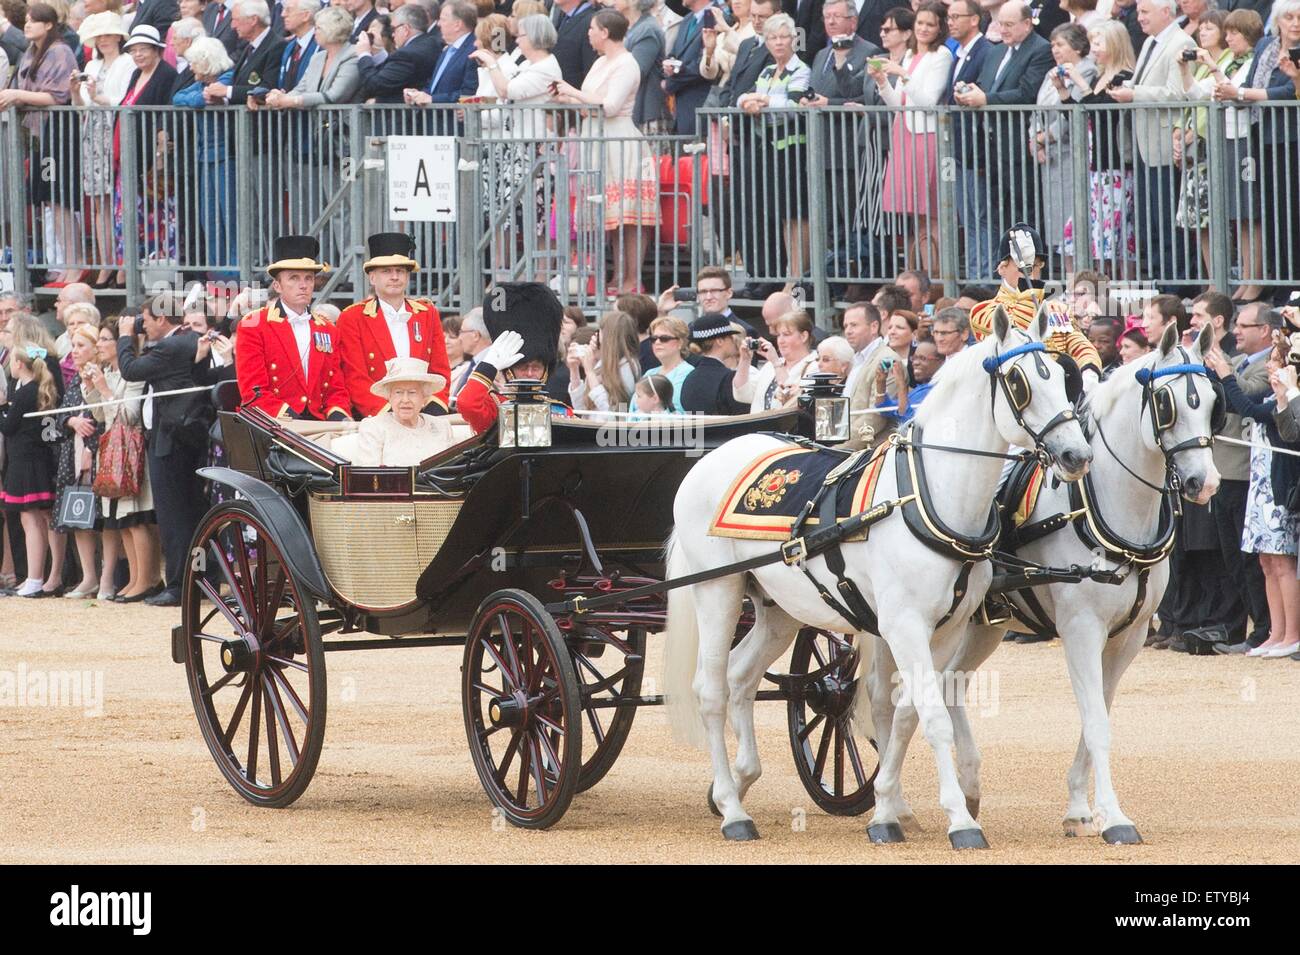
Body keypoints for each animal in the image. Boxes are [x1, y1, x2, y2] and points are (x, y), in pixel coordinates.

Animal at [665, 306, 1092, 841]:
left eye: (1062, 375)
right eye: (1019, 383)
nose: (1078, 455)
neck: (928, 497)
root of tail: (716, 455)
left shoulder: (946, 630)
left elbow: (908, 713)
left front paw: (888, 808)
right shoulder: (904, 623)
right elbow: (932, 716)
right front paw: (959, 819)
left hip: (780, 606)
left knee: (742, 675)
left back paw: (742, 779)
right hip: (717, 590)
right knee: (711, 689)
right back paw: (732, 809)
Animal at [878, 324, 1222, 847]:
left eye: (1211, 400)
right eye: (1166, 402)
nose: (1205, 482)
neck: (1108, 508)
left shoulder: (1130, 636)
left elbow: (1097, 716)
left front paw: (1080, 810)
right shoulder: (1081, 628)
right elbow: (1096, 723)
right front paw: (1113, 817)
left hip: (980, 626)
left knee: (946, 687)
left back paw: (965, 789)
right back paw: (895, 803)